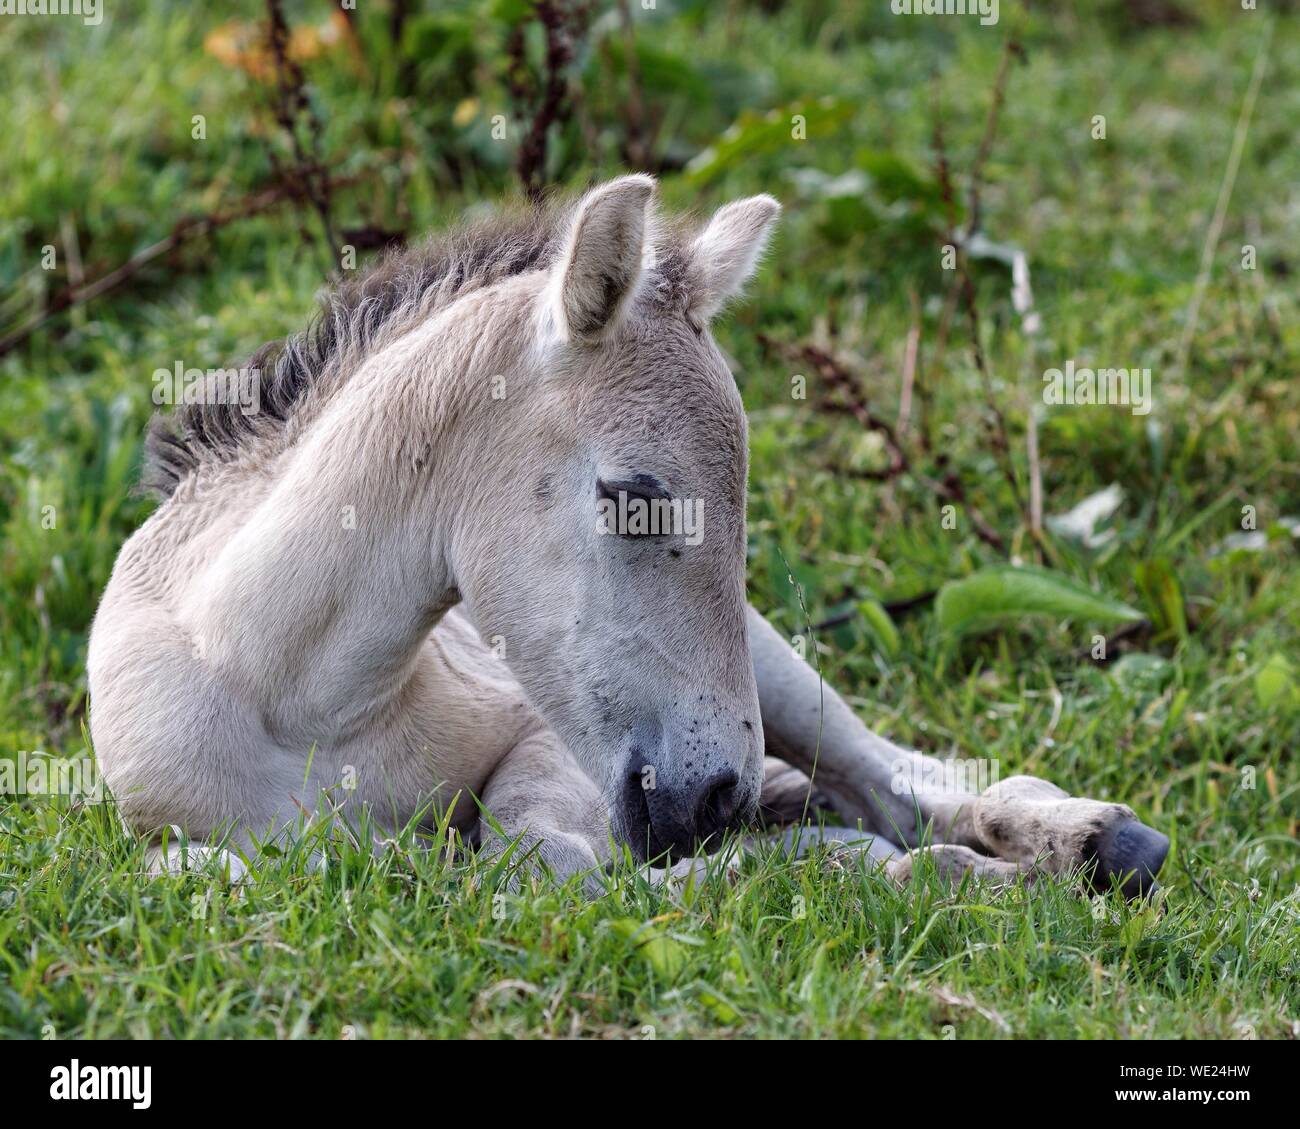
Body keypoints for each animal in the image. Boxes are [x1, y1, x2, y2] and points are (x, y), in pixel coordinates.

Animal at [87, 175, 1169, 897]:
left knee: (899, 776)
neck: (303, 702)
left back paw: (1094, 840)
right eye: (631, 493)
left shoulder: (547, 738)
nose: (713, 794)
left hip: (769, 666)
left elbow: (546, 859)